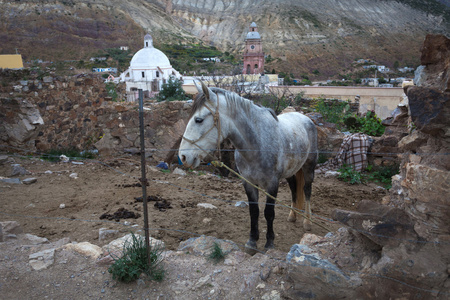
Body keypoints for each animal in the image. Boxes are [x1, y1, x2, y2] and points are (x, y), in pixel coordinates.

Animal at [178, 81, 318, 251]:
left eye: (198, 120)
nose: (183, 157)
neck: (257, 144)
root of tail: (305, 118)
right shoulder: (248, 182)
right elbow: (254, 211)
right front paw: (252, 242)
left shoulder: (272, 183)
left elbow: (269, 212)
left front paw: (269, 243)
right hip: (292, 171)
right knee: (294, 189)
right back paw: (292, 216)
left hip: (309, 167)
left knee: (307, 190)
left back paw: (307, 222)